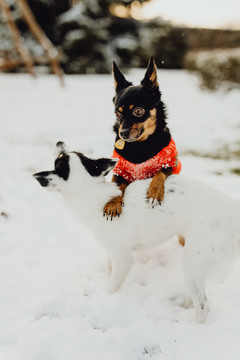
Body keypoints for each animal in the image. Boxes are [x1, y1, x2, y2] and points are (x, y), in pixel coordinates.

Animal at [33, 142, 240, 322]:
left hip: (193, 261)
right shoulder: (113, 253)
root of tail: (232, 207)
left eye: (59, 159)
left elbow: (111, 286)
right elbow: (109, 268)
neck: (89, 192)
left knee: (204, 305)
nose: (59, 142)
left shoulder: (123, 259)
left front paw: (102, 300)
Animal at [102, 57, 180, 218]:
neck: (140, 145)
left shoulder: (169, 164)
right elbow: (116, 186)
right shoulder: (119, 172)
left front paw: (155, 192)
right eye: (117, 113)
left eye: (138, 111)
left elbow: (159, 173)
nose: (123, 133)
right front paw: (113, 203)